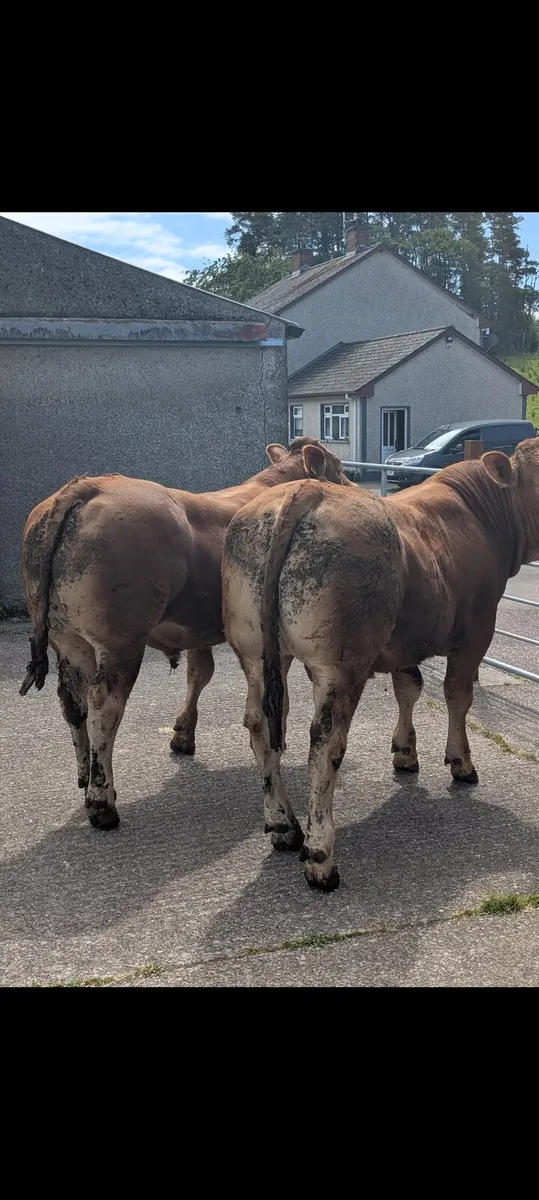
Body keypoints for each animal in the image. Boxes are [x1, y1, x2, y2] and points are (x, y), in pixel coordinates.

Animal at [20, 437, 353, 831]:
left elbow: (199, 674)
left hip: (68, 638)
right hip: (120, 643)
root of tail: (89, 485)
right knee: (103, 706)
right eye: (338, 468)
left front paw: (182, 734)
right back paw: (102, 803)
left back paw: (85, 776)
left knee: (73, 701)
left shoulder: (197, 630)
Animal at [222, 440, 539, 892]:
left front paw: (405, 753)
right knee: (325, 743)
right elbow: (457, 696)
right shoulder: (478, 631)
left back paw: (285, 826)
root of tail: (305, 491)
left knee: (261, 726)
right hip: (340, 664)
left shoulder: (406, 640)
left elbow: (410, 688)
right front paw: (461, 762)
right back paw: (321, 858)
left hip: (254, 652)